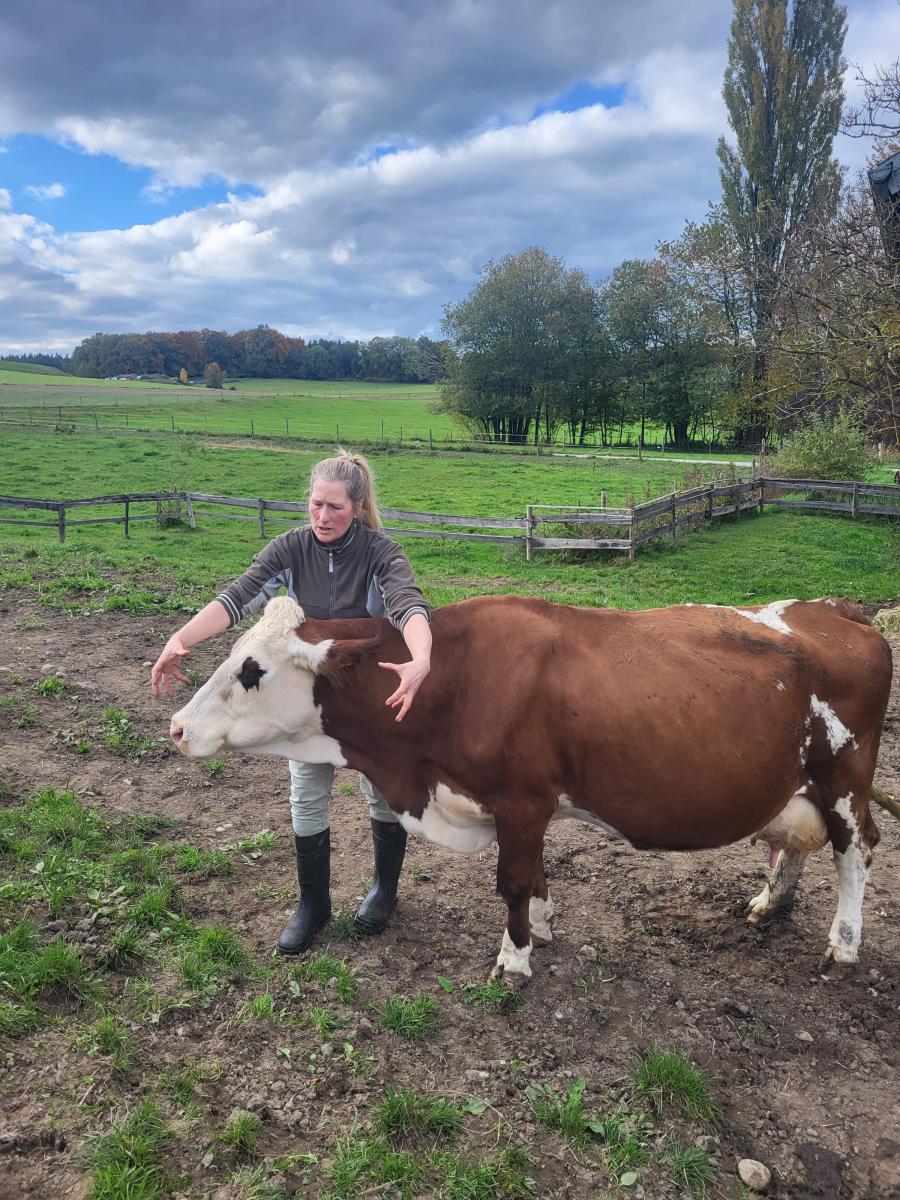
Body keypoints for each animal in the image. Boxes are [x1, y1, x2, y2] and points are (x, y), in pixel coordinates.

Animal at [169, 594, 892, 983]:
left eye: (252, 669)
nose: (177, 727)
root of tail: (836, 609)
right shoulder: (531, 806)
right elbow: (537, 872)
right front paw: (541, 928)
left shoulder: (520, 800)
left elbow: (513, 880)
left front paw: (513, 958)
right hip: (797, 781)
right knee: (798, 842)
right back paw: (771, 901)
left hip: (845, 777)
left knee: (857, 850)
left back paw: (843, 943)